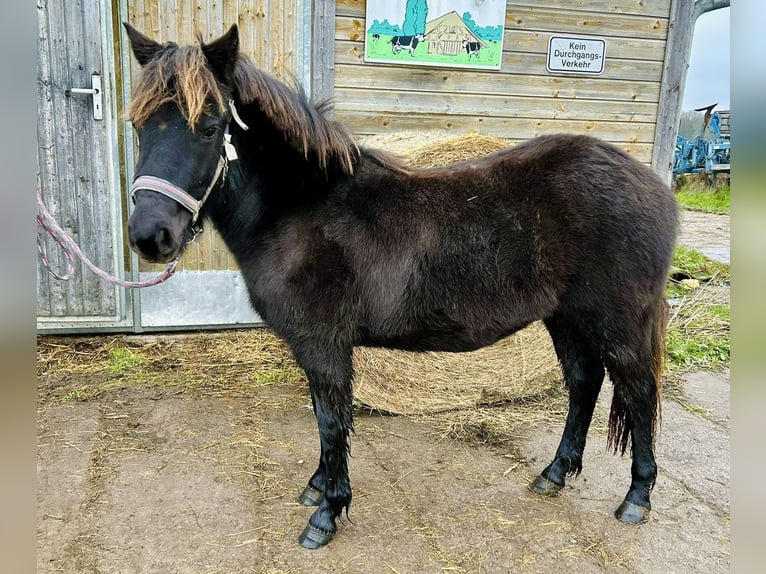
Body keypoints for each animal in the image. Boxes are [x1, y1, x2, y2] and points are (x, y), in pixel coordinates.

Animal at [124, 23, 680, 552]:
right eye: (138, 125)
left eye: (210, 127)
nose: (151, 236)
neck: (304, 209)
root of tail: (653, 186)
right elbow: (324, 418)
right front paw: (318, 487)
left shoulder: (324, 346)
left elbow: (332, 422)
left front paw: (327, 513)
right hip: (565, 317)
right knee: (584, 383)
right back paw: (555, 473)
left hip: (618, 322)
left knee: (639, 393)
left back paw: (637, 497)